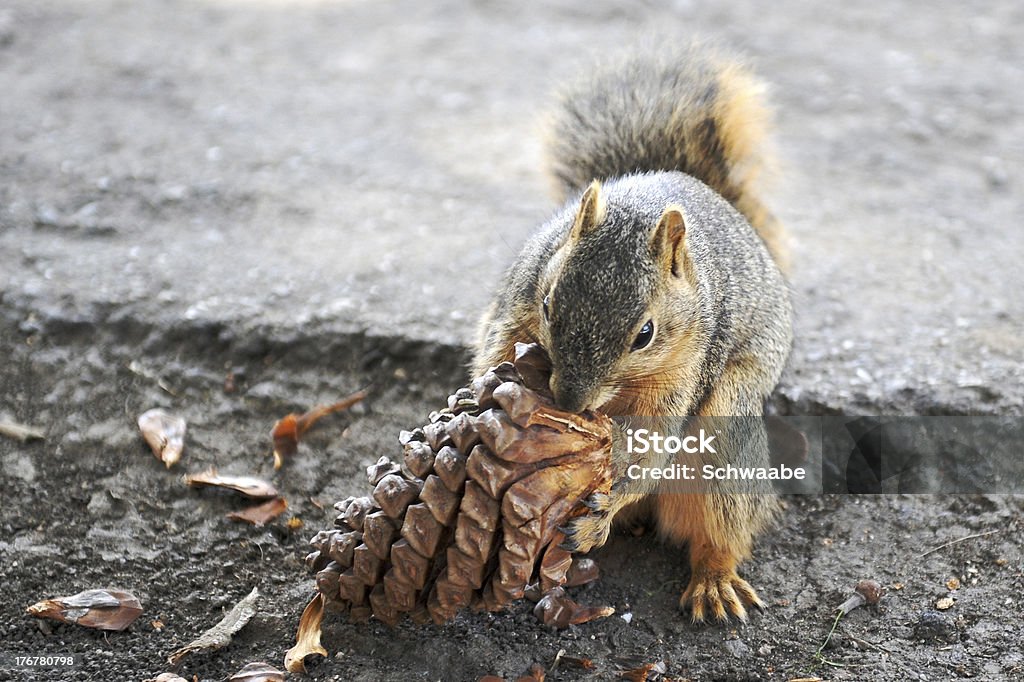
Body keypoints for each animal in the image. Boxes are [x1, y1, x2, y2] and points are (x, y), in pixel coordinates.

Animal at [471, 42, 790, 622]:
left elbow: (651, 449)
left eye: (645, 334)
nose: (568, 401)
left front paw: (607, 506)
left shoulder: (683, 371)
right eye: (548, 304)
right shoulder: (515, 307)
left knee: (722, 520)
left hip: (729, 429)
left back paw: (714, 580)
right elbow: (492, 354)